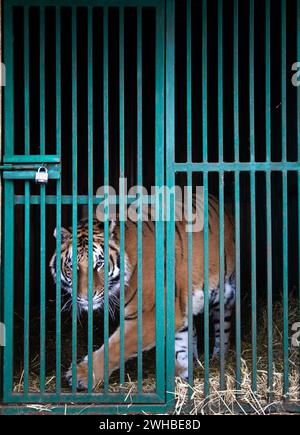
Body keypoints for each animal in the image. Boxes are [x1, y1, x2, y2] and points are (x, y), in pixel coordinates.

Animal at [50, 196, 236, 390]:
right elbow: (179, 350)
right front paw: (181, 379)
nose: (87, 296)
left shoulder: (150, 315)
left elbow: (114, 347)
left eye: (99, 264)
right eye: (72, 267)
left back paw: (218, 358)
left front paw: (81, 375)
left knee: (223, 329)